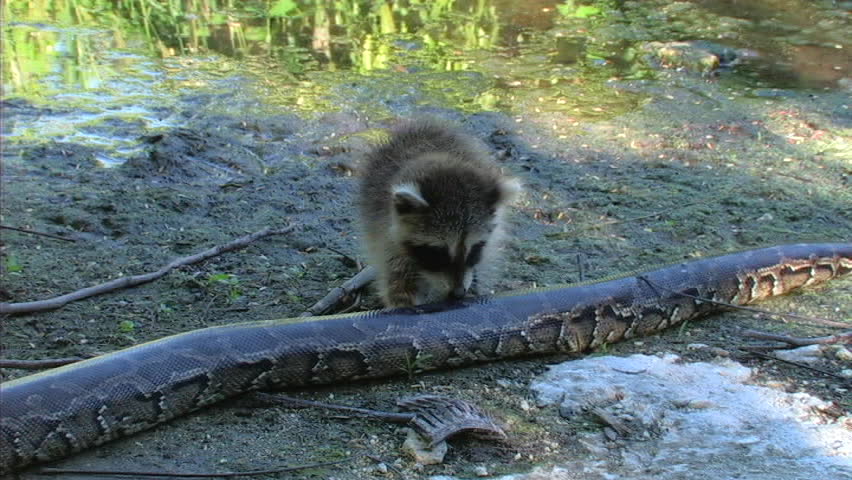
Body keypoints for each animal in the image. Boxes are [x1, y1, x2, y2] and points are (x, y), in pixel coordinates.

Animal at [358, 120, 521, 308]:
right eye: (438, 251)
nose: (458, 293)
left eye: (475, 249)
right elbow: (398, 277)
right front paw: (403, 303)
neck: (437, 156)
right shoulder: (383, 228)